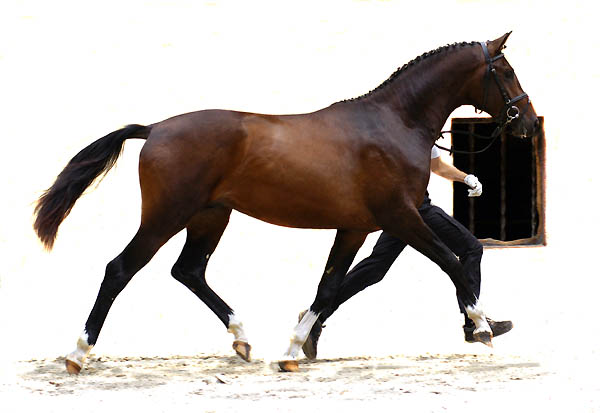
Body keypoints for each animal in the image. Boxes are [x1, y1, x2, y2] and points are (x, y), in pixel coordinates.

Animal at [32, 33, 540, 374]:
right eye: (507, 71)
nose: (530, 123)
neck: (394, 124)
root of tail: (155, 129)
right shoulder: (401, 216)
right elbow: (452, 262)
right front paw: (482, 328)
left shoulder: (356, 226)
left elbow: (330, 286)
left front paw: (295, 349)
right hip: (166, 216)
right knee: (120, 269)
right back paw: (77, 354)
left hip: (211, 216)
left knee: (188, 270)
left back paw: (242, 340)